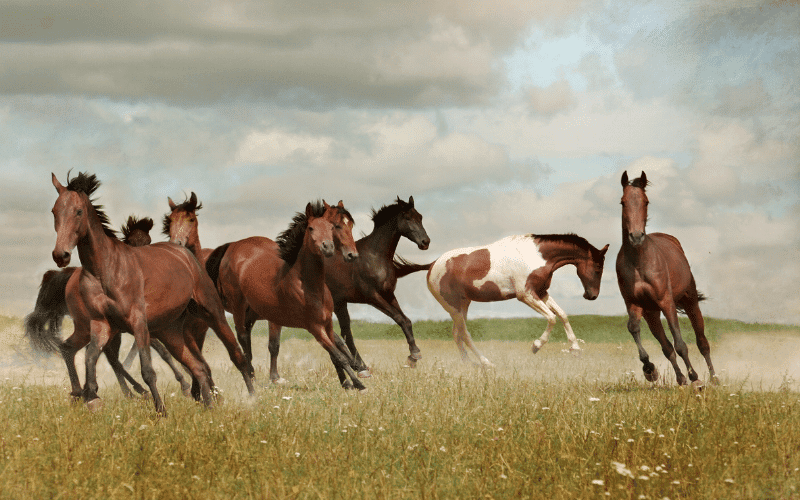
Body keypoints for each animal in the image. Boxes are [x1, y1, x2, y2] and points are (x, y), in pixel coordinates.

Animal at [25, 215, 193, 398]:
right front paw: (184, 383)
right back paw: (133, 390)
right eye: (132, 243)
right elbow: (163, 352)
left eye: (148, 241)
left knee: (106, 356)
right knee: (109, 357)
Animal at [48, 172, 253, 414]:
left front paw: (160, 411)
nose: (60, 255)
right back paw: (209, 407)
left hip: (213, 314)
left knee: (235, 355)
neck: (105, 269)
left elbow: (147, 369)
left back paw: (252, 398)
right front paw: (91, 397)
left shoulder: (138, 323)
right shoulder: (101, 324)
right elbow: (90, 358)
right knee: (199, 367)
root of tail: (185, 254)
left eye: (78, 211)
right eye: (54, 211)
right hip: (169, 332)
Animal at [208, 201, 368, 388]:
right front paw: (357, 379)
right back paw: (252, 375)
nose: (352, 255)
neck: (309, 285)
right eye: (337, 225)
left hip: (254, 313)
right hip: (238, 306)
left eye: (349, 225)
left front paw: (351, 376)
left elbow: (337, 347)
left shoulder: (324, 322)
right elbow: (337, 353)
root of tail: (233, 247)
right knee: (242, 336)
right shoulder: (313, 326)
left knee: (250, 337)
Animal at [616, 172, 716, 386]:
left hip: (690, 301)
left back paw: (714, 379)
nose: (636, 236)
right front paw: (650, 370)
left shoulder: (666, 301)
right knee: (666, 346)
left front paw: (695, 377)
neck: (639, 262)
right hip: (652, 313)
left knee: (702, 342)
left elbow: (681, 343)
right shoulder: (634, 303)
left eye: (646, 201)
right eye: (622, 202)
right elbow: (634, 328)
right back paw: (680, 378)